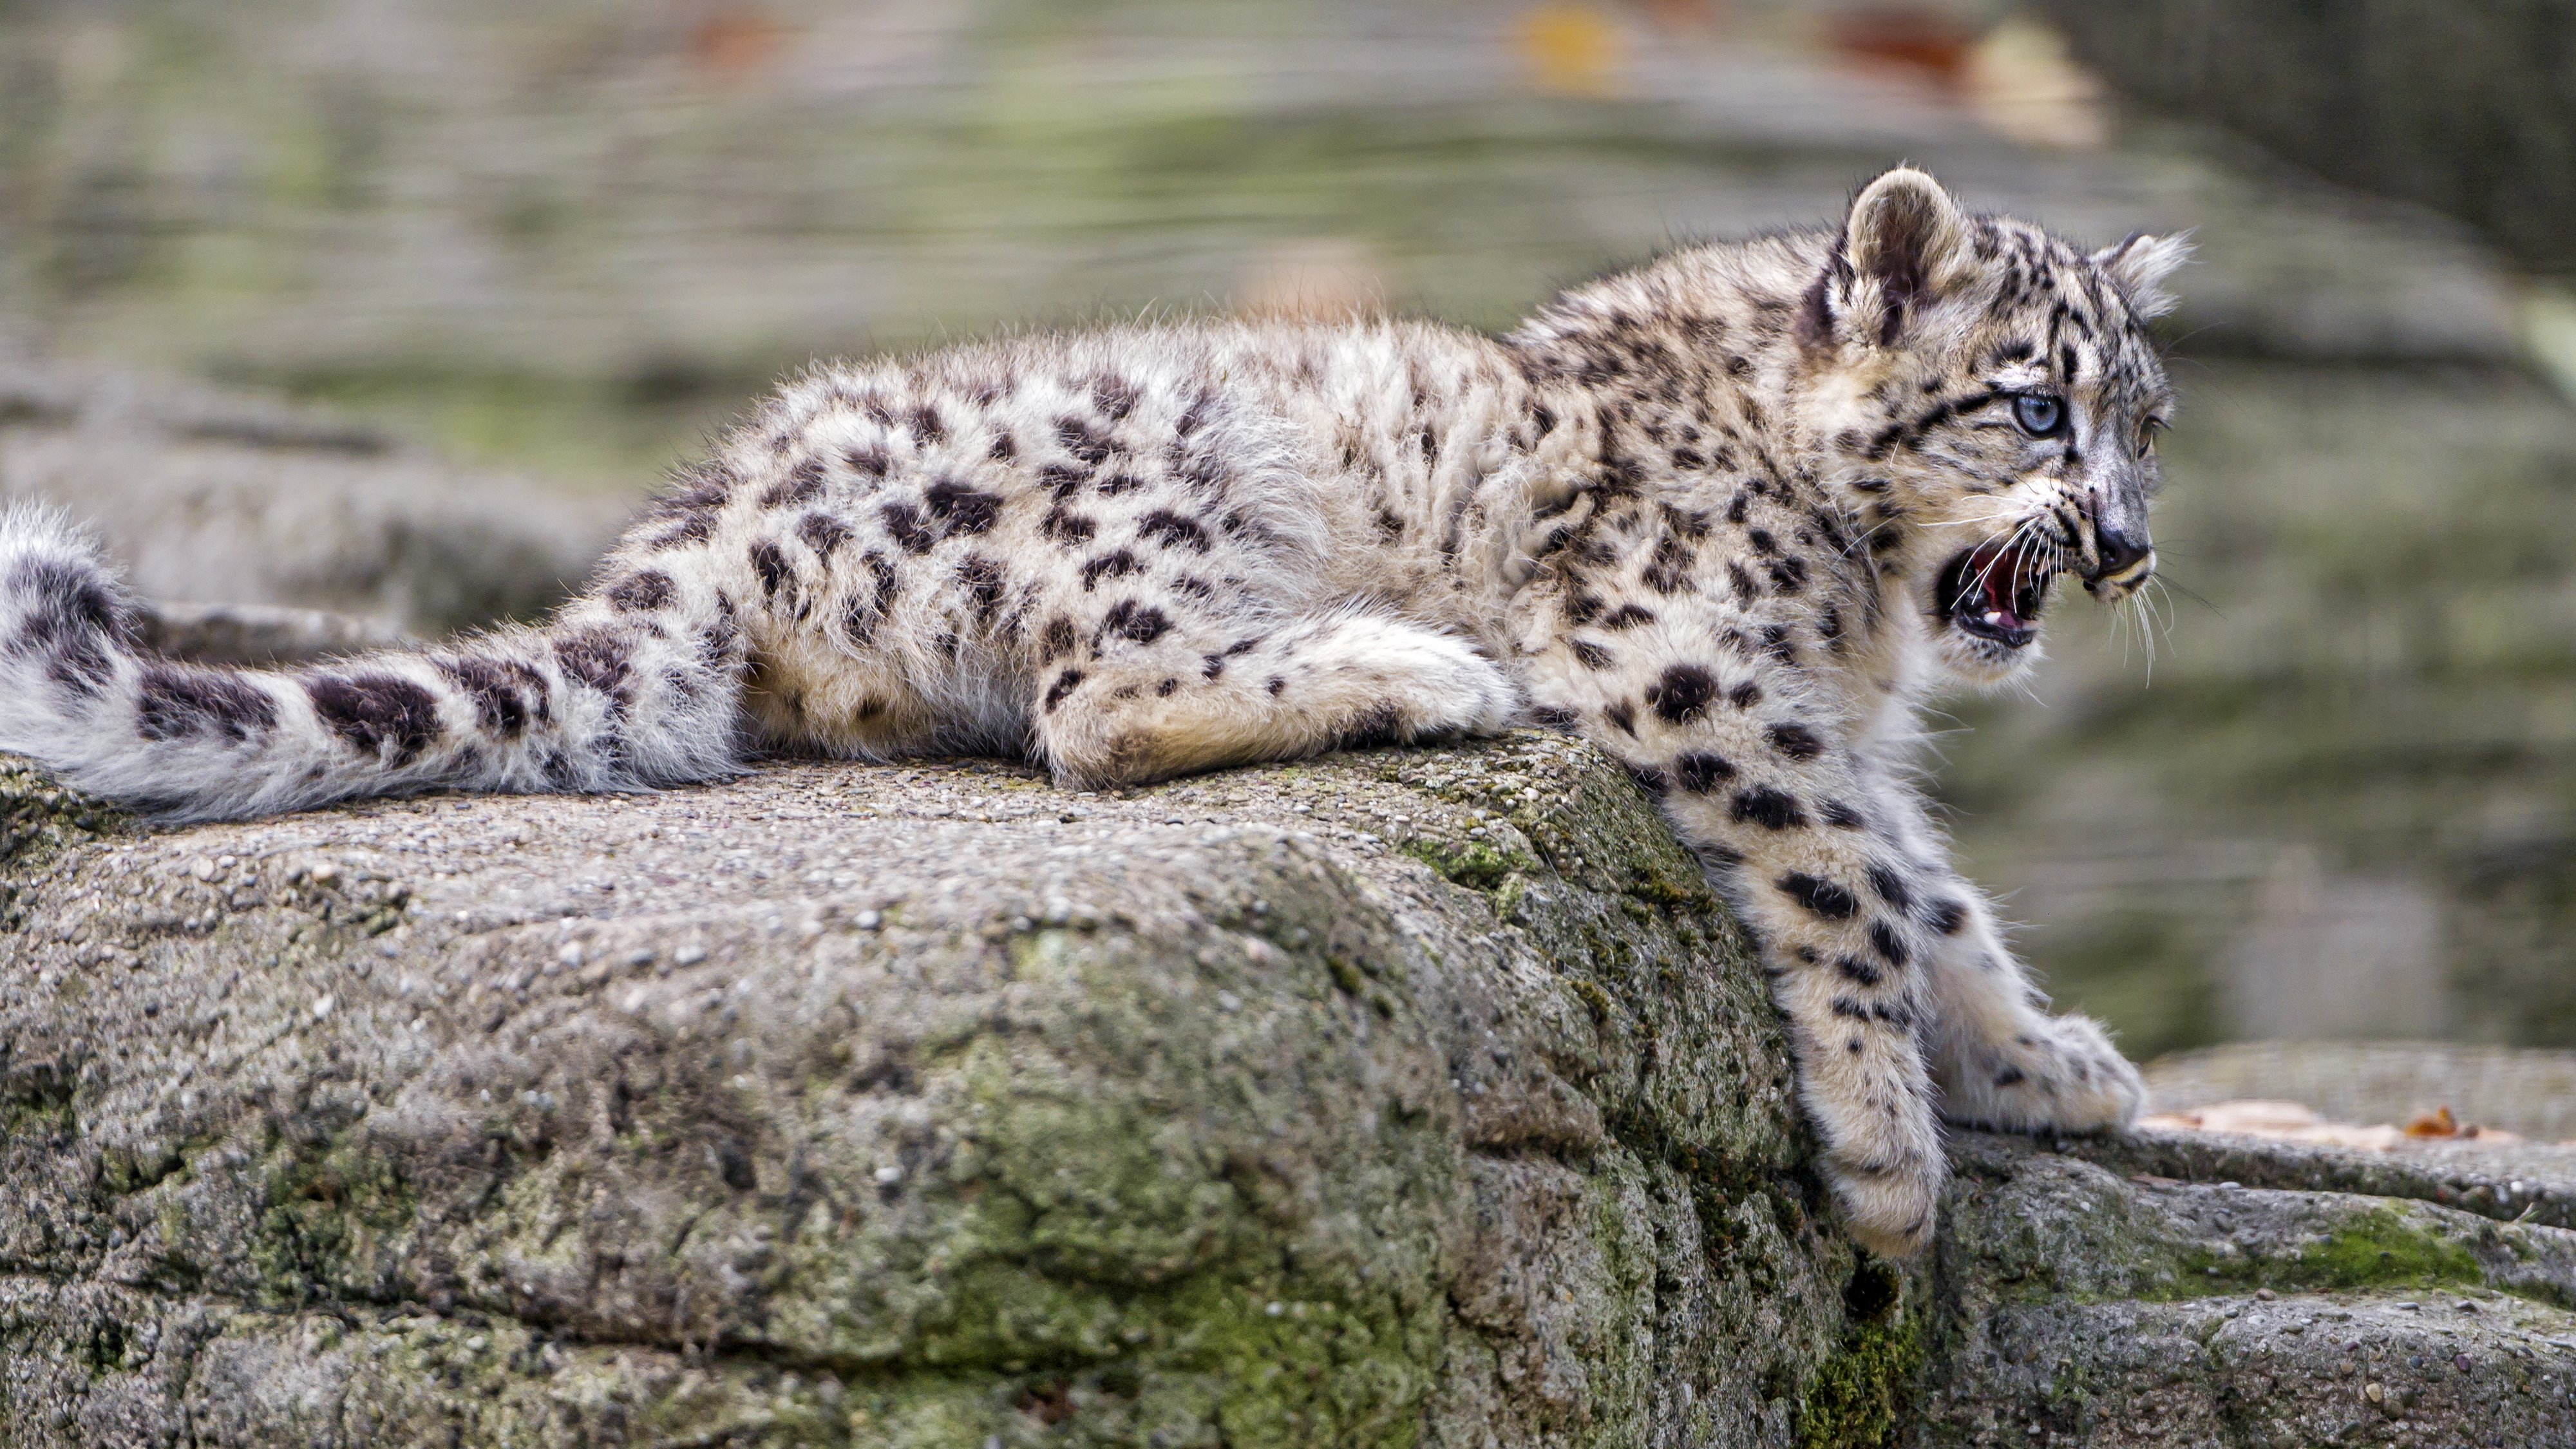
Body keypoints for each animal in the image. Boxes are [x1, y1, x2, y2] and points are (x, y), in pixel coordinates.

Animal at [0, 167, 2186, 1257]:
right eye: (2028, 402)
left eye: (2146, 417)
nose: (2126, 540)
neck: (1863, 612)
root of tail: (707, 509)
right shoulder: (1694, 661)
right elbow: (1843, 878)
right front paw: (1893, 1155)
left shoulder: (1839, 720)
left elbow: (1929, 883)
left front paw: (2048, 1059)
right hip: (1159, 474)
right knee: (1094, 701)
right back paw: (1410, 667)